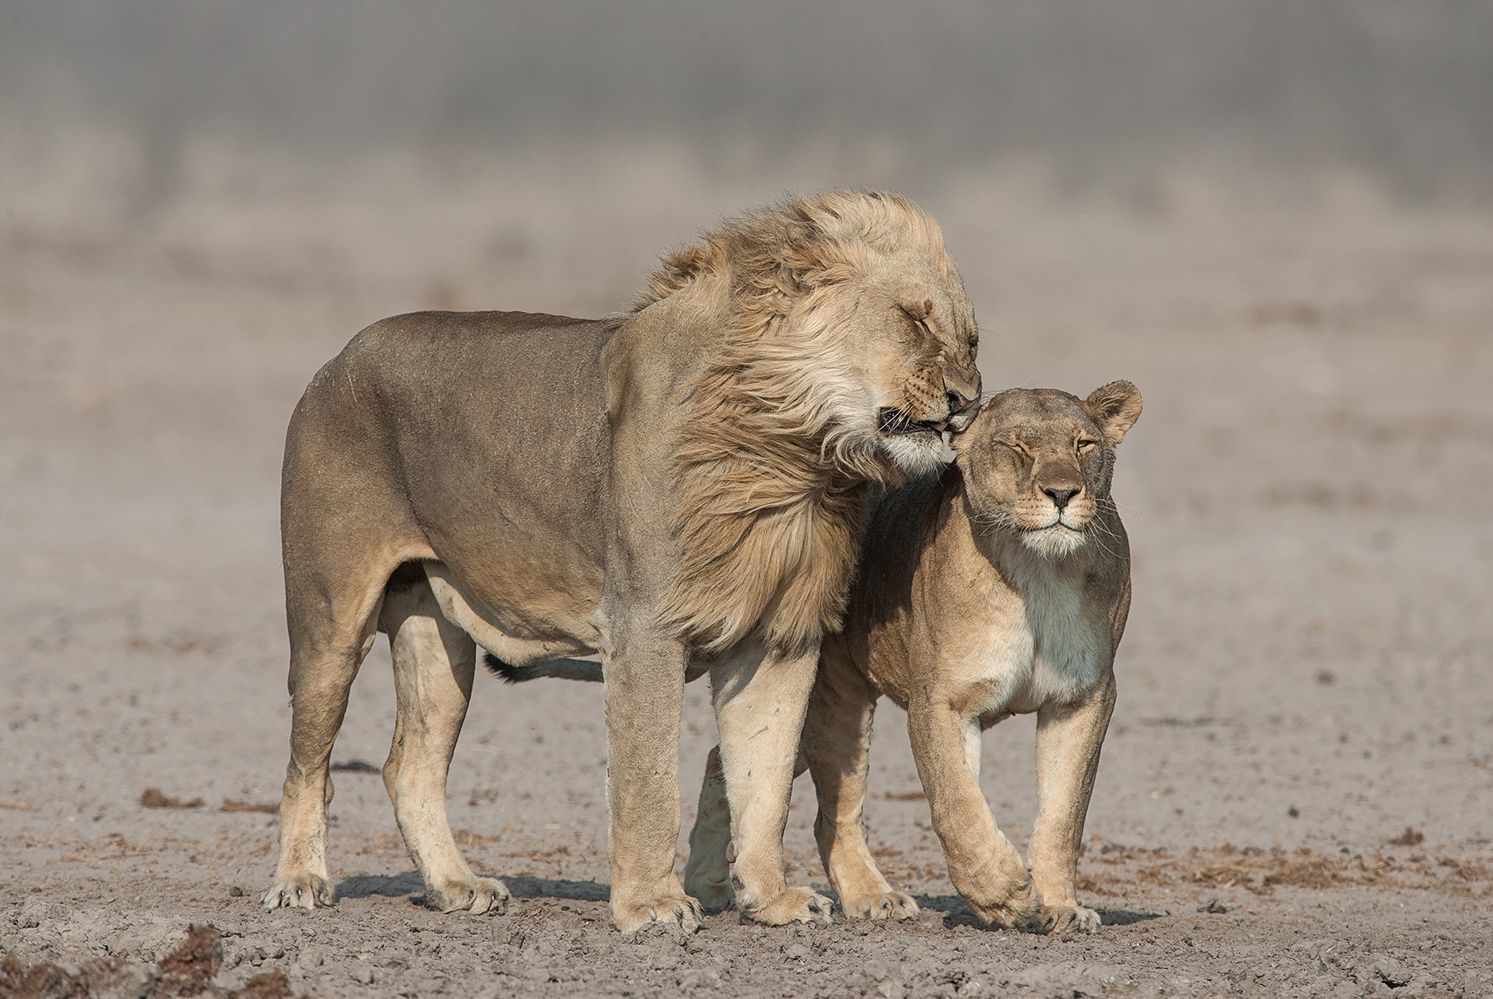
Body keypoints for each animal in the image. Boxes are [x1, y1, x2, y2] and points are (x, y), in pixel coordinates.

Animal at [259, 191, 979, 931]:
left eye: (971, 341)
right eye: (914, 320)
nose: (967, 399)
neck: (789, 454)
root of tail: (338, 359)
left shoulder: (780, 636)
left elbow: (765, 777)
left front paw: (770, 897)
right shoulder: (644, 624)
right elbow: (649, 777)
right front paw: (651, 904)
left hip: (438, 637)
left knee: (410, 767)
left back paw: (455, 885)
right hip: (329, 621)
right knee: (306, 765)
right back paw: (300, 881)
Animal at [683, 379, 1134, 925]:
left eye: (1083, 445)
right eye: (1014, 446)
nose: (1063, 493)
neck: (1039, 573)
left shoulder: (1083, 698)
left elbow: (1064, 815)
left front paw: (1060, 906)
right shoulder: (942, 700)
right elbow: (957, 803)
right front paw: (1003, 893)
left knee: (725, 759)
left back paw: (709, 885)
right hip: (831, 700)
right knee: (830, 815)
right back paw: (872, 896)